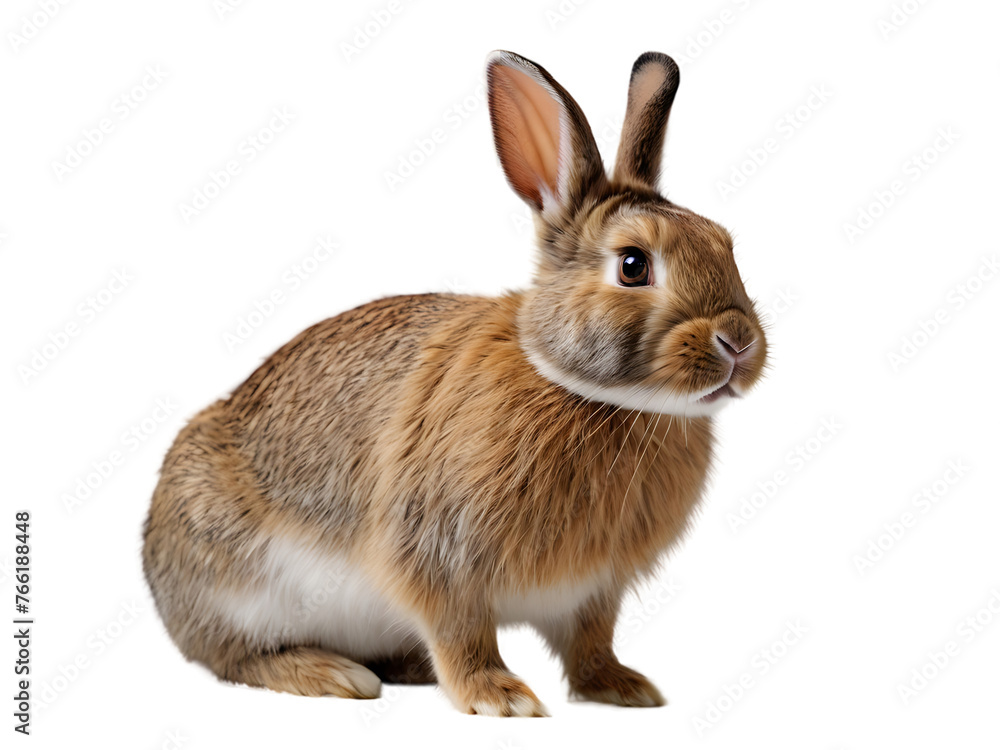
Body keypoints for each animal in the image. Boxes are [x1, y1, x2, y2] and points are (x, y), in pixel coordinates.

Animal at [142, 49, 767, 717]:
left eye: (726, 245)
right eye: (632, 265)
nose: (738, 341)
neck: (592, 396)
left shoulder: (594, 592)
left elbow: (590, 643)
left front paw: (623, 687)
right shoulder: (440, 557)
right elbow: (461, 633)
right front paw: (501, 697)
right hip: (237, 582)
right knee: (234, 656)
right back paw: (332, 674)